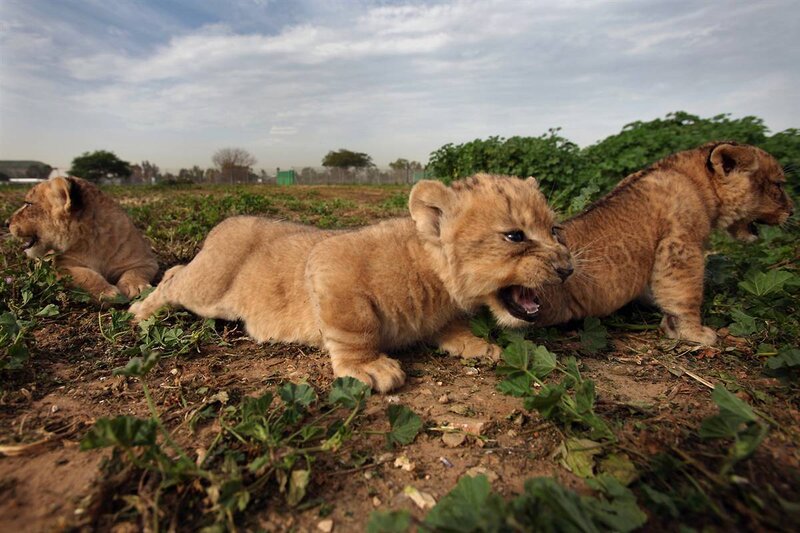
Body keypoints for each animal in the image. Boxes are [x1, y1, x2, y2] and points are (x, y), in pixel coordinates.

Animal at [6, 176, 158, 301]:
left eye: (29, 204)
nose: (6, 223)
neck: (96, 241)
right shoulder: (60, 266)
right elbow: (85, 274)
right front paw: (107, 293)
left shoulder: (145, 261)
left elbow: (136, 271)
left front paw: (135, 287)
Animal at [129, 174, 573, 392]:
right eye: (515, 236)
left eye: (555, 230)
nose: (568, 268)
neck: (436, 280)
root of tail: (223, 223)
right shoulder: (331, 265)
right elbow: (356, 326)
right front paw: (369, 367)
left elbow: (452, 327)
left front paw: (476, 344)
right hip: (207, 289)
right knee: (172, 279)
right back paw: (140, 309)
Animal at [530, 142, 794, 345]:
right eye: (778, 185)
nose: (792, 211)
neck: (691, 177)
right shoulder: (680, 244)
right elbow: (685, 293)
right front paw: (694, 333)